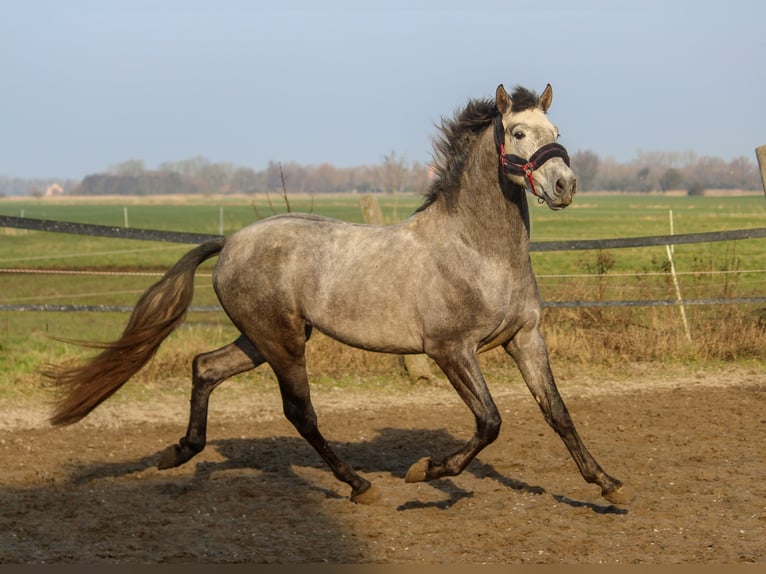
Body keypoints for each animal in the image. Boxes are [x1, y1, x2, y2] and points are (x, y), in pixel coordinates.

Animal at [46, 83, 636, 506]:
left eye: (555, 128)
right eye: (515, 133)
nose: (564, 185)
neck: (477, 250)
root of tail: (232, 240)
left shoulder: (525, 338)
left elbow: (557, 411)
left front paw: (607, 483)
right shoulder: (450, 350)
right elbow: (490, 422)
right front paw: (427, 472)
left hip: (262, 338)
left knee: (204, 367)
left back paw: (180, 452)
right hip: (284, 343)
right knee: (299, 411)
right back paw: (358, 484)